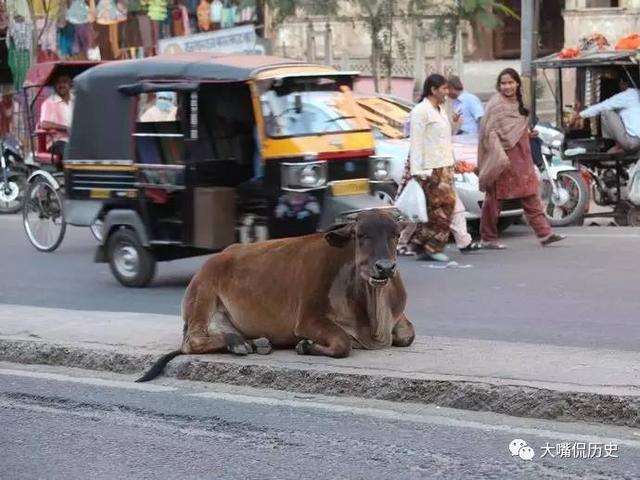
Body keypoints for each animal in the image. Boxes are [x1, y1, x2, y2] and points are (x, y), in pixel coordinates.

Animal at [136, 210, 416, 382]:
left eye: (395, 235)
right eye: (361, 235)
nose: (385, 267)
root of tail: (217, 256)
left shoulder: (399, 318)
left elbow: (407, 335)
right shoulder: (308, 319)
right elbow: (342, 343)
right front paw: (304, 345)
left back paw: (253, 341)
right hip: (202, 297)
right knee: (192, 341)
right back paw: (241, 343)